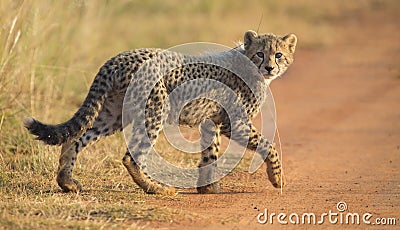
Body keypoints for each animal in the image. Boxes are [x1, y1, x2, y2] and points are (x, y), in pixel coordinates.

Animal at [22, 30, 296, 195]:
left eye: (278, 54)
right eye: (260, 54)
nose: (270, 67)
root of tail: (119, 57)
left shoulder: (212, 121)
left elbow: (210, 152)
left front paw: (208, 188)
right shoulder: (235, 122)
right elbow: (268, 145)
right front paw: (277, 178)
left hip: (112, 114)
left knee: (76, 138)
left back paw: (67, 182)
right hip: (154, 110)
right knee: (131, 156)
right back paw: (156, 188)